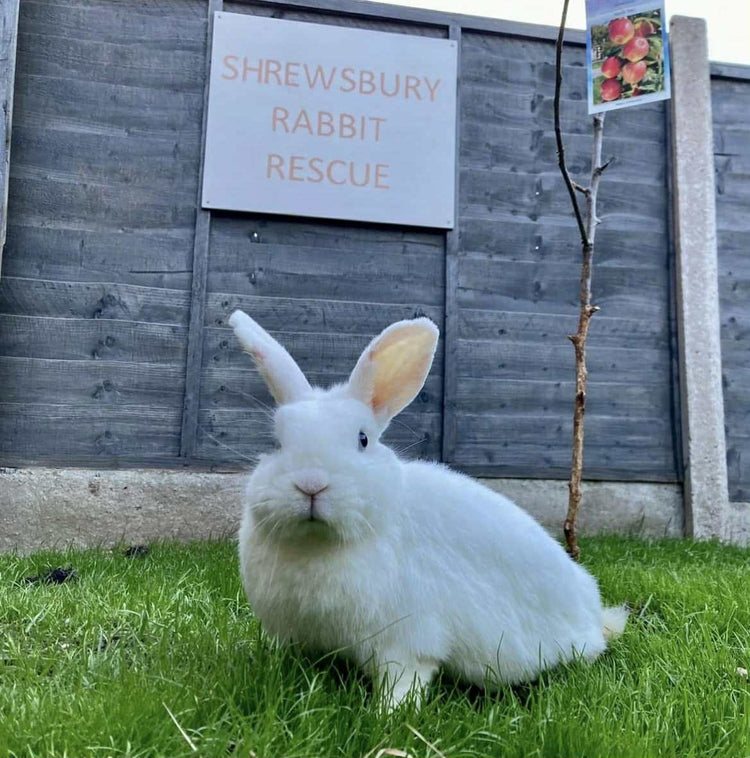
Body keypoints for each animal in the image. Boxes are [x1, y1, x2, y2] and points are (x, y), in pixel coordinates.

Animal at [229, 309, 627, 710]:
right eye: (278, 443)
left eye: (363, 439)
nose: (311, 484)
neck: (319, 544)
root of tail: (594, 613)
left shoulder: (406, 642)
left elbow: (405, 679)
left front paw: (389, 715)